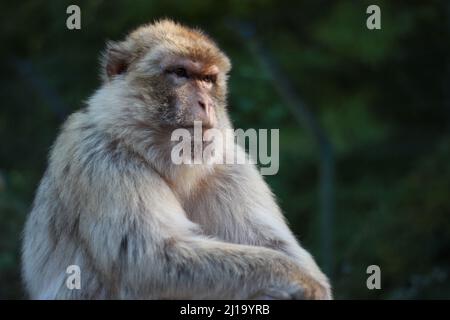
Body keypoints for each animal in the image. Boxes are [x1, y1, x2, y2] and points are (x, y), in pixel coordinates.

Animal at [22, 19, 330, 300]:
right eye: (180, 73)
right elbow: (150, 258)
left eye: (207, 80)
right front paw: (300, 280)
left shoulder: (229, 164)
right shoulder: (100, 155)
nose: (206, 103)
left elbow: (276, 244)